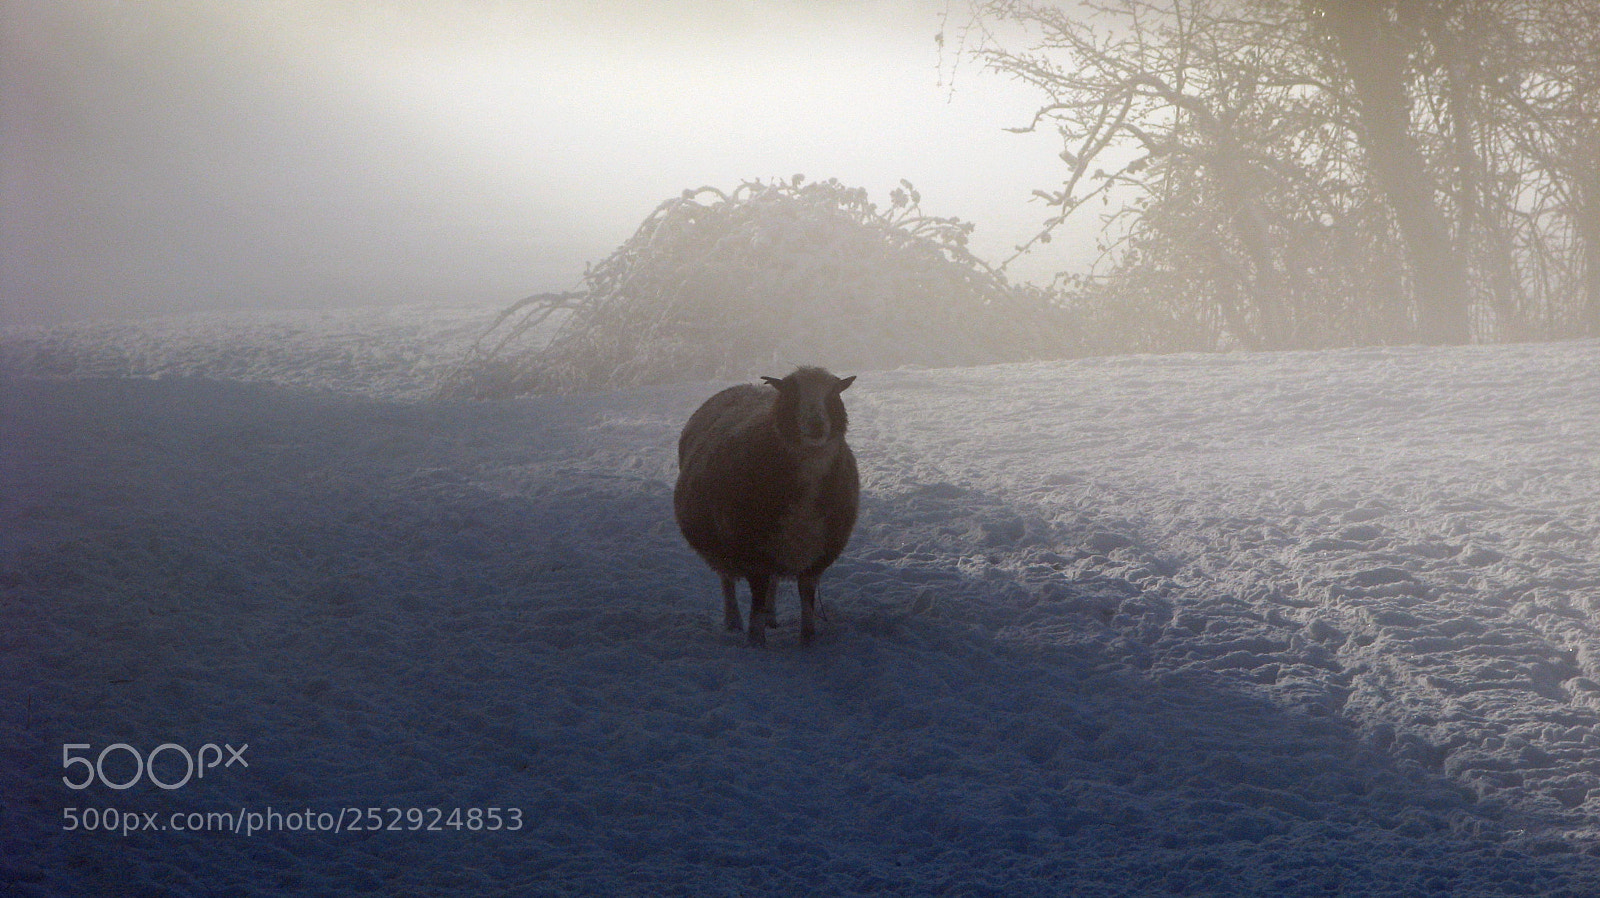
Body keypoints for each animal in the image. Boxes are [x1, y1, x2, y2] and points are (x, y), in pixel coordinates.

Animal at [674, 366, 859, 646]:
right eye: (792, 393)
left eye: (833, 393)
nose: (816, 425)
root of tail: (742, 386)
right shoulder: (753, 553)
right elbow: (757, 602)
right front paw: (756, 642)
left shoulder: (816, 553)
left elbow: (806, 600)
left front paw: (808, 640)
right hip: (721, 543)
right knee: (727, 581)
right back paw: (733, 622)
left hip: (779, 542)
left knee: (773, 581)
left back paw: (772, 618)